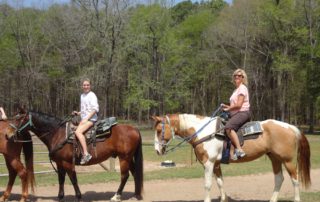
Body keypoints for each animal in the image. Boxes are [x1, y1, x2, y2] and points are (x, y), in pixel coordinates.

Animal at [10, 109, 143, 201]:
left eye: (19, 119)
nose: (9, 135)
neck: (58, 134)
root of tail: (134, 129)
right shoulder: (60, 163)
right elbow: (61, 180)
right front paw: (60, 197)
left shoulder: (68, 163)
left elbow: (73, 179)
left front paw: (78, 197)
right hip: (128, 158)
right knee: (134, 174)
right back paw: (136, 195)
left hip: (124, 158)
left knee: (124, 176)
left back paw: (116, 196)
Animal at [152, 113, 310, 202]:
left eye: (159, 130)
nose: (157, 150)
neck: (204, 133)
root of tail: (291, 127)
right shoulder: (216, 164)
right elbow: (220, 183)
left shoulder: (209, 163)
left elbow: (208, 184)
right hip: (274, 158)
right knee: (279, 179)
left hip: (288, 160)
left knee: (295, 179)